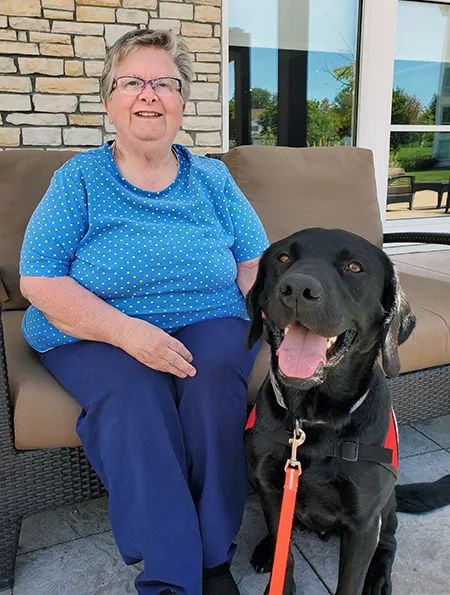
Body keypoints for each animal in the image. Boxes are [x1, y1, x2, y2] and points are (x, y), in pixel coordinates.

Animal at [244, 228, 450, 595]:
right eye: (283, 258)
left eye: (354, 267)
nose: (297, 288)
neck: (312, 419)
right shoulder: (270, 490)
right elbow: (286, 554)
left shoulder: (363, 520)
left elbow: (351, 579)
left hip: (386, 510)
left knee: (390, 542)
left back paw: (379, 578)